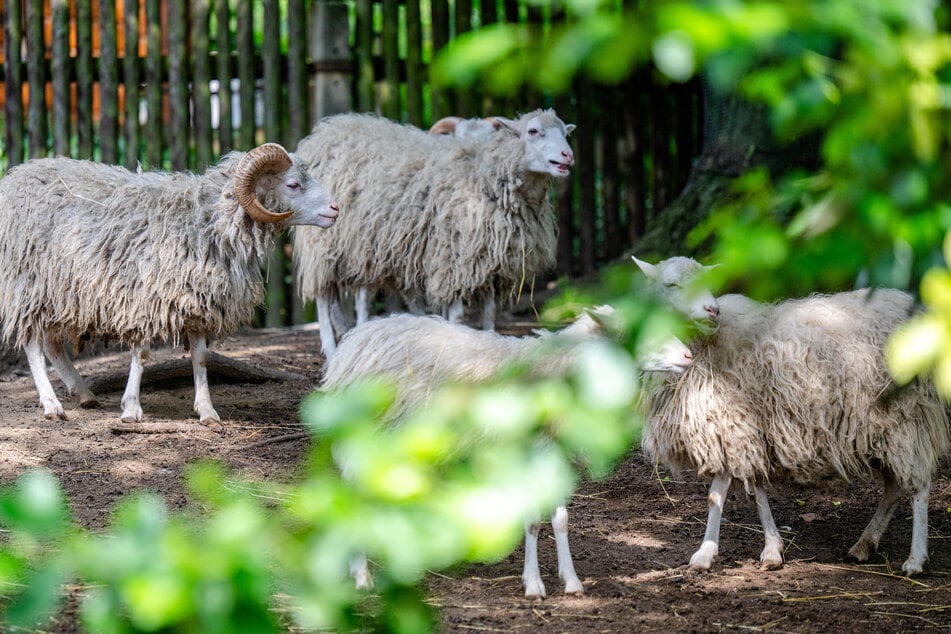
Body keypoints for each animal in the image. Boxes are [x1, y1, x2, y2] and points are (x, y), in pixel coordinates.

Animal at [0, 143, 339, 423]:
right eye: (293, 184)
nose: (336, 209)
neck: (204, 222)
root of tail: (15, 176)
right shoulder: (144, 298)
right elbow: (142, 354)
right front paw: (131, 408)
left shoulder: (198, 301)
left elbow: (200, 358)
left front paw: (207, 411)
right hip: (27, 284)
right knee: (33, 346)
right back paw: (51, 404)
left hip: (60, 293)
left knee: (52, 345)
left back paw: (84, 394)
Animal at [292, 109, 576, 357]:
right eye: (533, 131)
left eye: (565, 132)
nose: (568, 156)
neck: (480, 174)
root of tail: (329, 128)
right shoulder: (453, 260)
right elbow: (457, 315)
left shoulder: (486, 264)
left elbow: (488, 313)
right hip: (325, 242)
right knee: (324, 297)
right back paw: (332, 349)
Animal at [321, 306, 693, 598]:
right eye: (640, 331)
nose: (689, 355)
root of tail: (354, 342)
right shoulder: (528, 452)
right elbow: (532, 520)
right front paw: (534, 585)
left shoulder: (556, 454)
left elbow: (561, 519)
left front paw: (571, 581)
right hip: (369, 437)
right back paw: (362, 577)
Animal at [641, 288, 949, 576]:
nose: (710, 310)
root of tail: (919, 312)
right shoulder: (751, 435)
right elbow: (758, 493)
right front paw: (772, 550)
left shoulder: (729, 428)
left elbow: (716, 496)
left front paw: (705, 554)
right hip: (887, 431)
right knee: (895, 486)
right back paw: (864, 545)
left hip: (907, 419)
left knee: (919, 487)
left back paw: (915, 559)